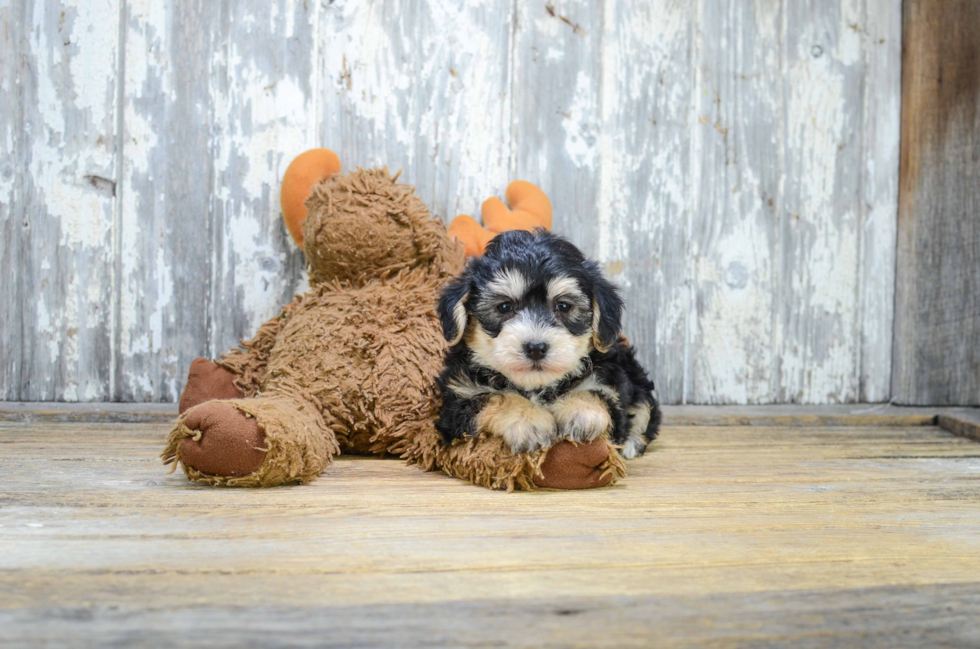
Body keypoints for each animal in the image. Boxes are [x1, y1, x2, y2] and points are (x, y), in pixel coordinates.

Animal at [434, 228, 660, 456]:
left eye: (563, 306)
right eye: (504, 307)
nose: (536, 348)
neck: (537, 387)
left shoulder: (610, 381)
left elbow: (595, 392)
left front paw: (581, 412)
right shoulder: (457, 402)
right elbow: (495, 397)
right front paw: (528, 420)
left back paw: (631, 444)